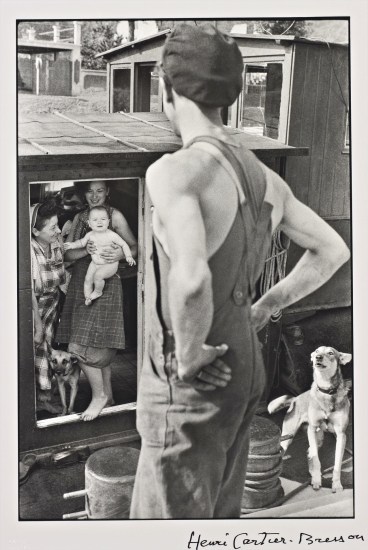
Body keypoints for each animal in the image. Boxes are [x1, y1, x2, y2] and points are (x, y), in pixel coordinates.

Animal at [268, 348, 352, 494]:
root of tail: (295, 399)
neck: (326, 392)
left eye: (330, 353)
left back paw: (312, 474)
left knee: (309, 452)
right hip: (289, 437)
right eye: (317, 351)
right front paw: (317, 481)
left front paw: (336, 484)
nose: (318, 357)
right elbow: (317, 459)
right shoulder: (312, 429)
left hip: (319, 438)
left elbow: (337, 463)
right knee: (303, 452)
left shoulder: (341, 435)